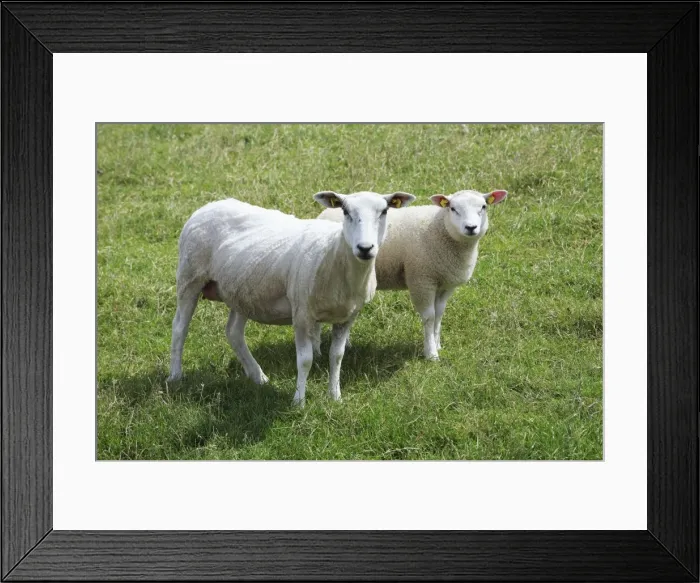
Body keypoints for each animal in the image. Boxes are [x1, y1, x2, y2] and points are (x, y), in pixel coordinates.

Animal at [167, 190, 416, 406]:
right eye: (345, 211)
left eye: (384, 211)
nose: (365, 248)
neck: (334, 255)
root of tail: (207, 207)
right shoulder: (302, 314)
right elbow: (305, 360)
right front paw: (299, 402)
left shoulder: (348, 317)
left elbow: (337, 356)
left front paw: (335, 397)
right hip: (189, 278)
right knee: (180, 328)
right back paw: (175, 376)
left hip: (242, 290)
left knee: (234, 333)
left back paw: (258, 376)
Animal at [318, 189, 507, 360]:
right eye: (453, 208)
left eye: (483, 207)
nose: (471, 227)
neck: (441, 229)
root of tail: (324, 213)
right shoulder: (421, 280)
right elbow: (429, 316)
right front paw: (431, 354)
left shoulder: (445, 284)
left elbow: (439, 314)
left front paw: (437, 344)